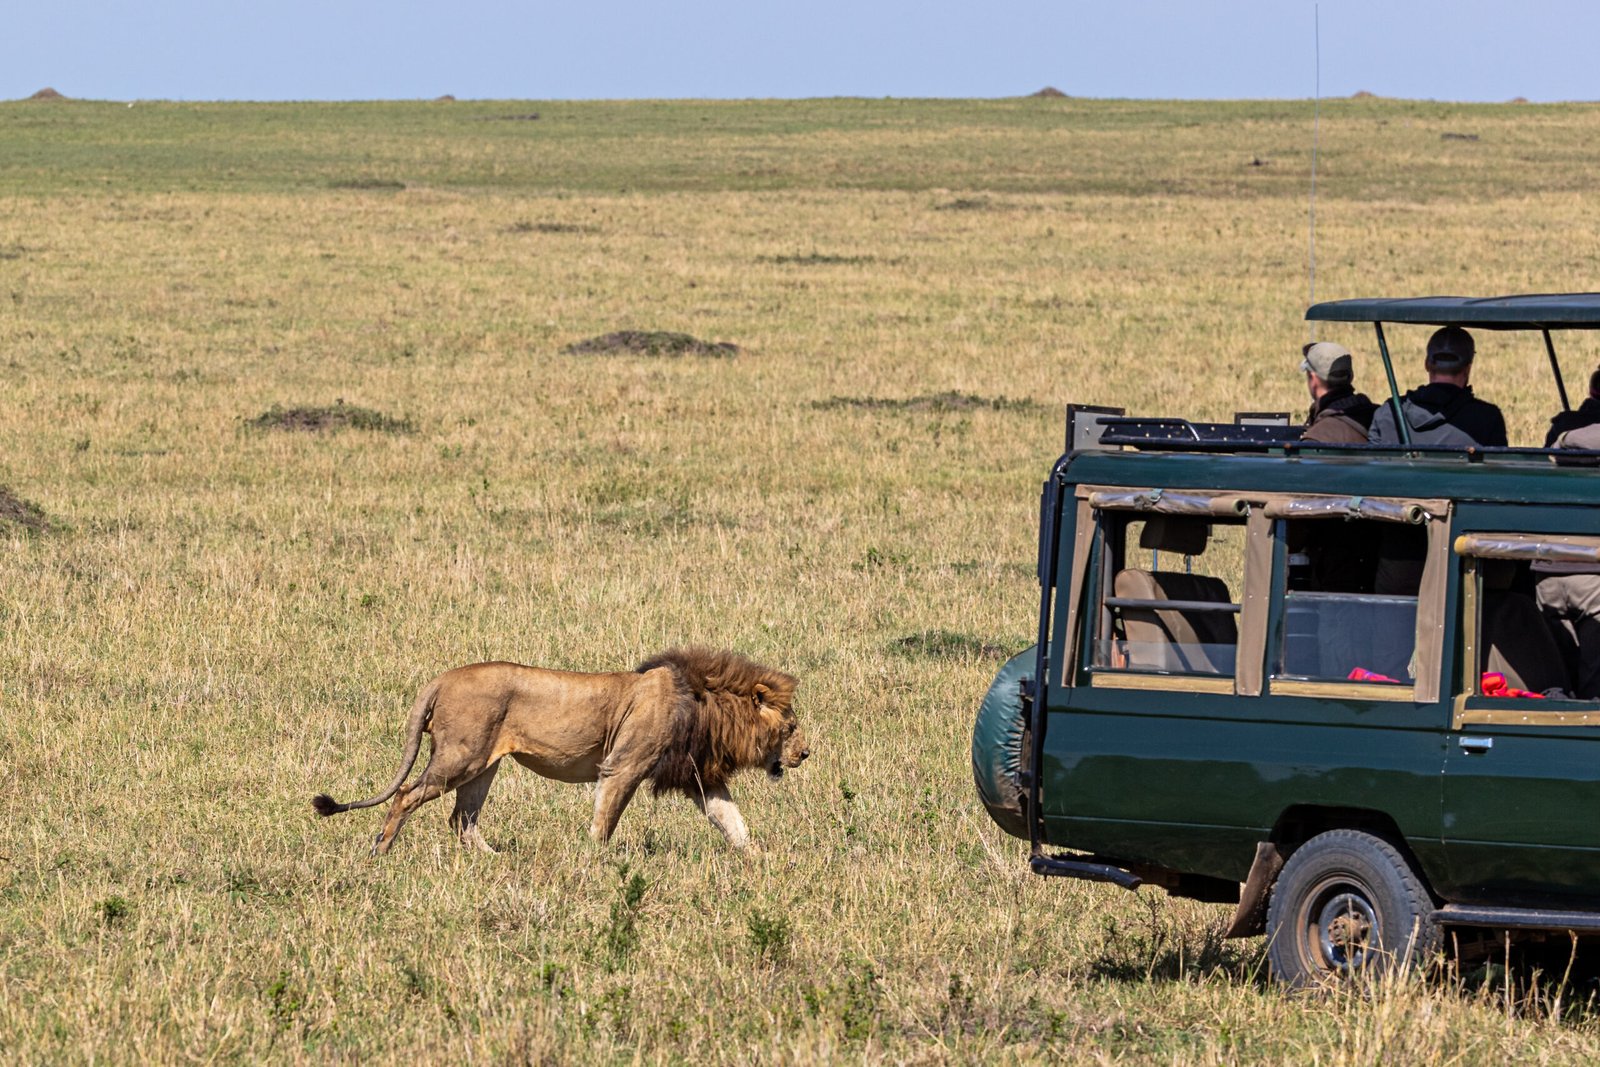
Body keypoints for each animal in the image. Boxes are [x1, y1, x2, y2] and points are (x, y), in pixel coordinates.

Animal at [311, 647, 807, 855]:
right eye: (791, 727)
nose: (805, 754)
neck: (705, 705)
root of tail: (442, 678)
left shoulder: (699, 776)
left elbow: (733, 821)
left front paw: (762, 860)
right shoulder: (624, 766)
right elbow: (606, 819)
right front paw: (595, 862)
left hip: (483, 766)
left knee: (462, 820)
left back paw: (499, 862)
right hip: (460, 758)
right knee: (406, 795)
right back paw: (380, 850)